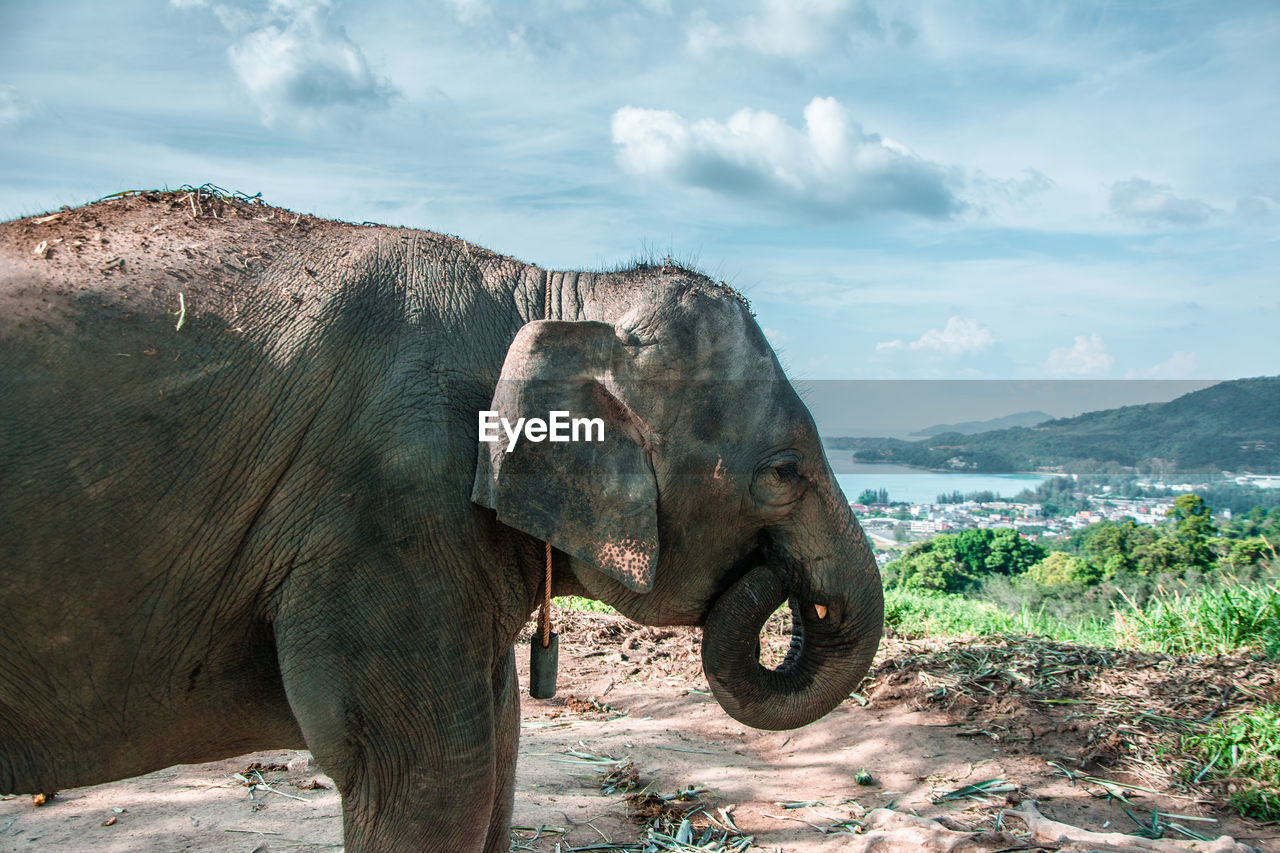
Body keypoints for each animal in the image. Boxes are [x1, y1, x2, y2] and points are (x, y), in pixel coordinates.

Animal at [0, 189, 880, 845]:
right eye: (782, 474)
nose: (775, 577)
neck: (549, 290)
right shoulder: (388, 500)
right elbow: (434, 777)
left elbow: (500, 750)